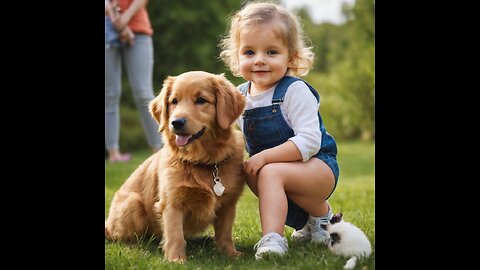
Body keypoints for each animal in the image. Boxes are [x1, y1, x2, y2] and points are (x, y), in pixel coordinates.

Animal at [105, 70, 248, 262]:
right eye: (174, 101)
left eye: (201, 100)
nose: (176, 122)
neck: (202, 161)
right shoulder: (172, 202)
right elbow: (175, 234)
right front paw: (176, 260)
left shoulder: (228, 204)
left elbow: (225, 233)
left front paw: (230, 253)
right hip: (132, 204)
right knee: (124, 238)